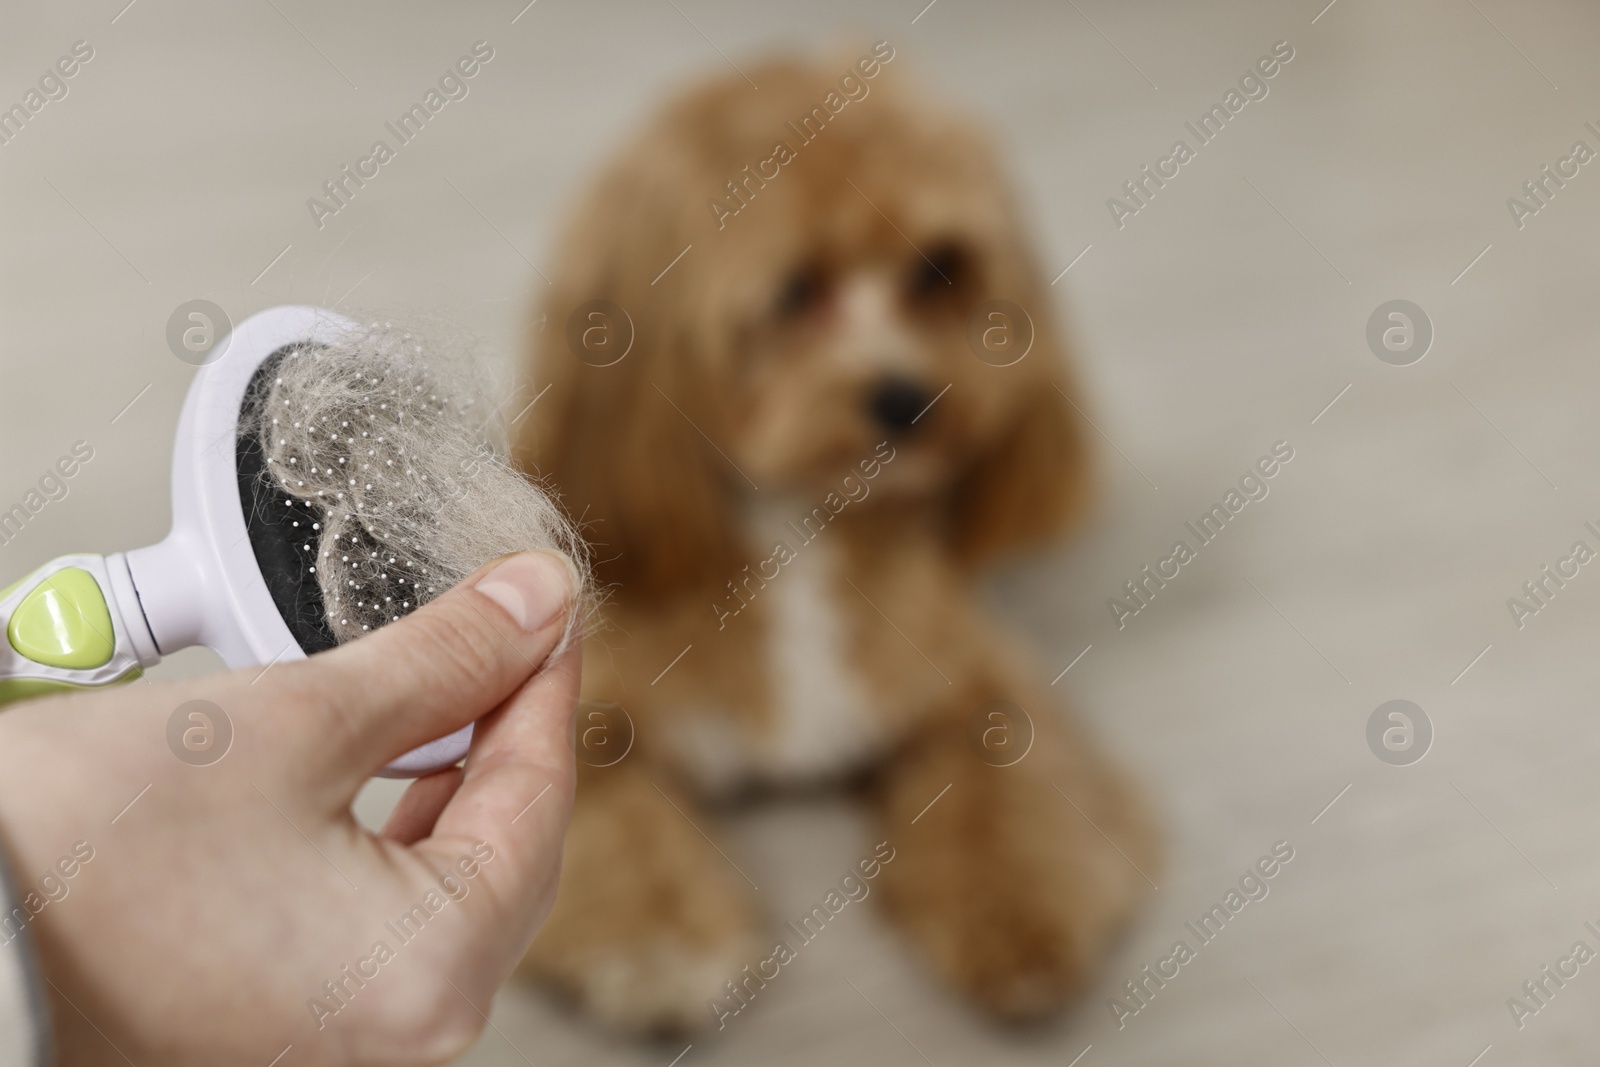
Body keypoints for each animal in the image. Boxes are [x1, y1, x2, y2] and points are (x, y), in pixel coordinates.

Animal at [512, 49, 1152, 1036]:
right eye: (795, 290)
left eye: (939, 269)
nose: (908, 399)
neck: (799, 533)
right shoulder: (594, 711)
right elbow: (612, 826)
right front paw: (658, 945)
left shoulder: (979, 680)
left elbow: (1010, 801)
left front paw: (1019, 916)